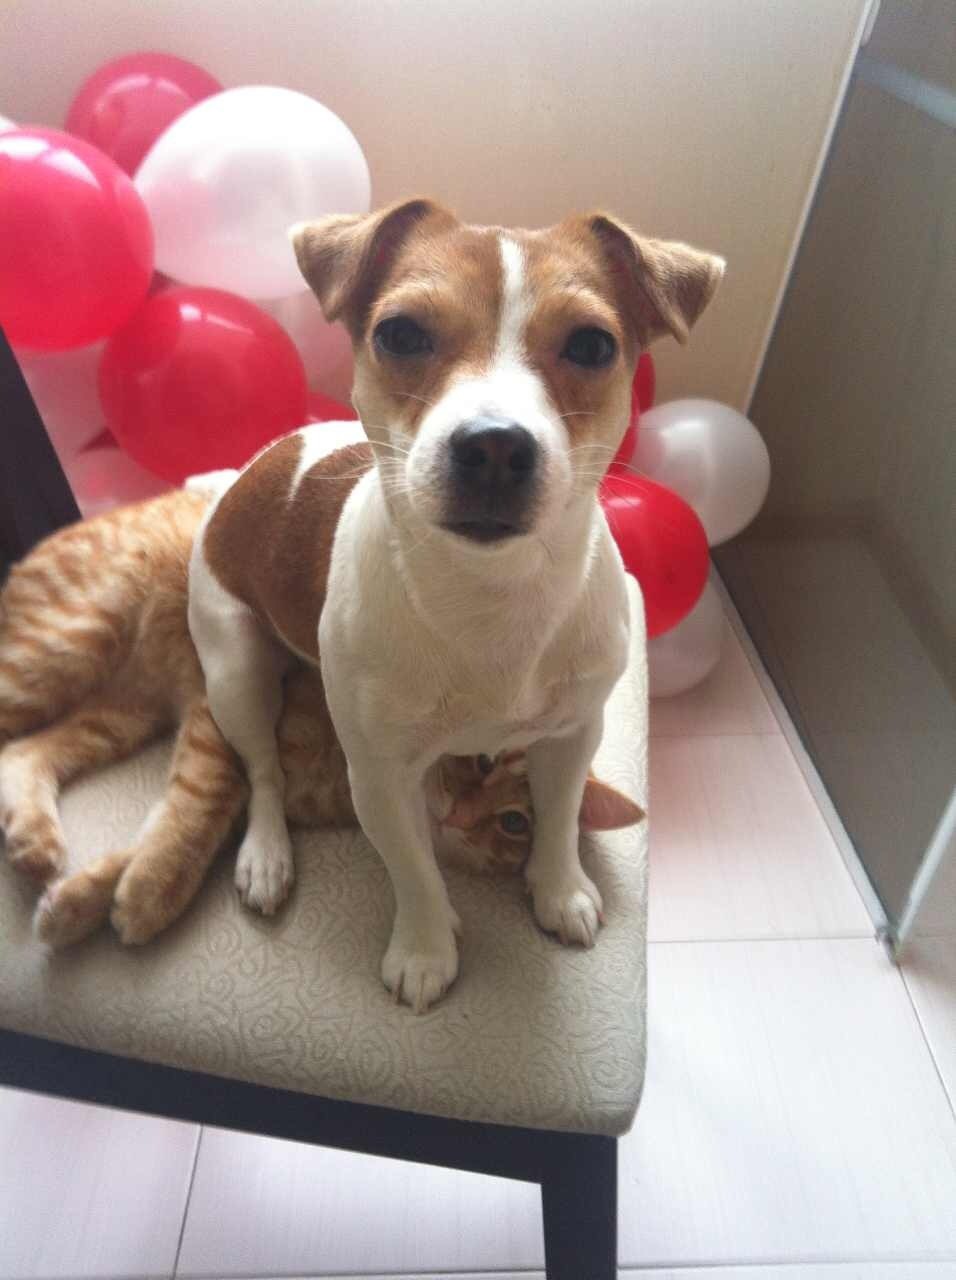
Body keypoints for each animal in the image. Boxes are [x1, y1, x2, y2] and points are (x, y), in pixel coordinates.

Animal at [0, 481, 643, 950]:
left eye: (514, 822)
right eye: (482, 764)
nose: (460, 818)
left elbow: (163, 833)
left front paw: (87, 902)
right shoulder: (217, 714)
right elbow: (206, 803)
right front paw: (147, 892)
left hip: (119, 711)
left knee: (27, 750)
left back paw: (34, 839)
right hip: (79, 647)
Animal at [188, 198, 723, 1010]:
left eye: (592, 345)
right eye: (401, 333)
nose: (495, 445)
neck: (491, 594)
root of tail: (254, 467)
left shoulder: (575, 734)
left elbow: (560, 818)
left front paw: (559, 889)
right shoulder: (379, 776)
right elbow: (413, 868)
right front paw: (426, 946)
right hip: (235, 669)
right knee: (263, 770)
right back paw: (267, 856)